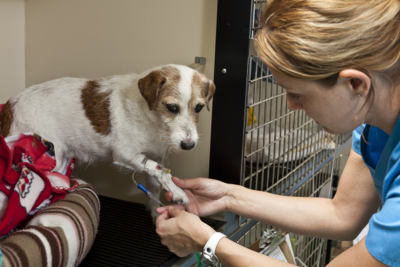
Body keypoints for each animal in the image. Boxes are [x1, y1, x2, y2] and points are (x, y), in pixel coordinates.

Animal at [0, 65, 216, 220]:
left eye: (198, 107)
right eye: (171, 107)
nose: (189, 145)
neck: (152, 119)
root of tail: (9, 106)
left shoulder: (155, 155)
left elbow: (154, 181)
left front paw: (157, 214)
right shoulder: (125, 154)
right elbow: (160, 170)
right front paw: (178, 191)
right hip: (51, 159)